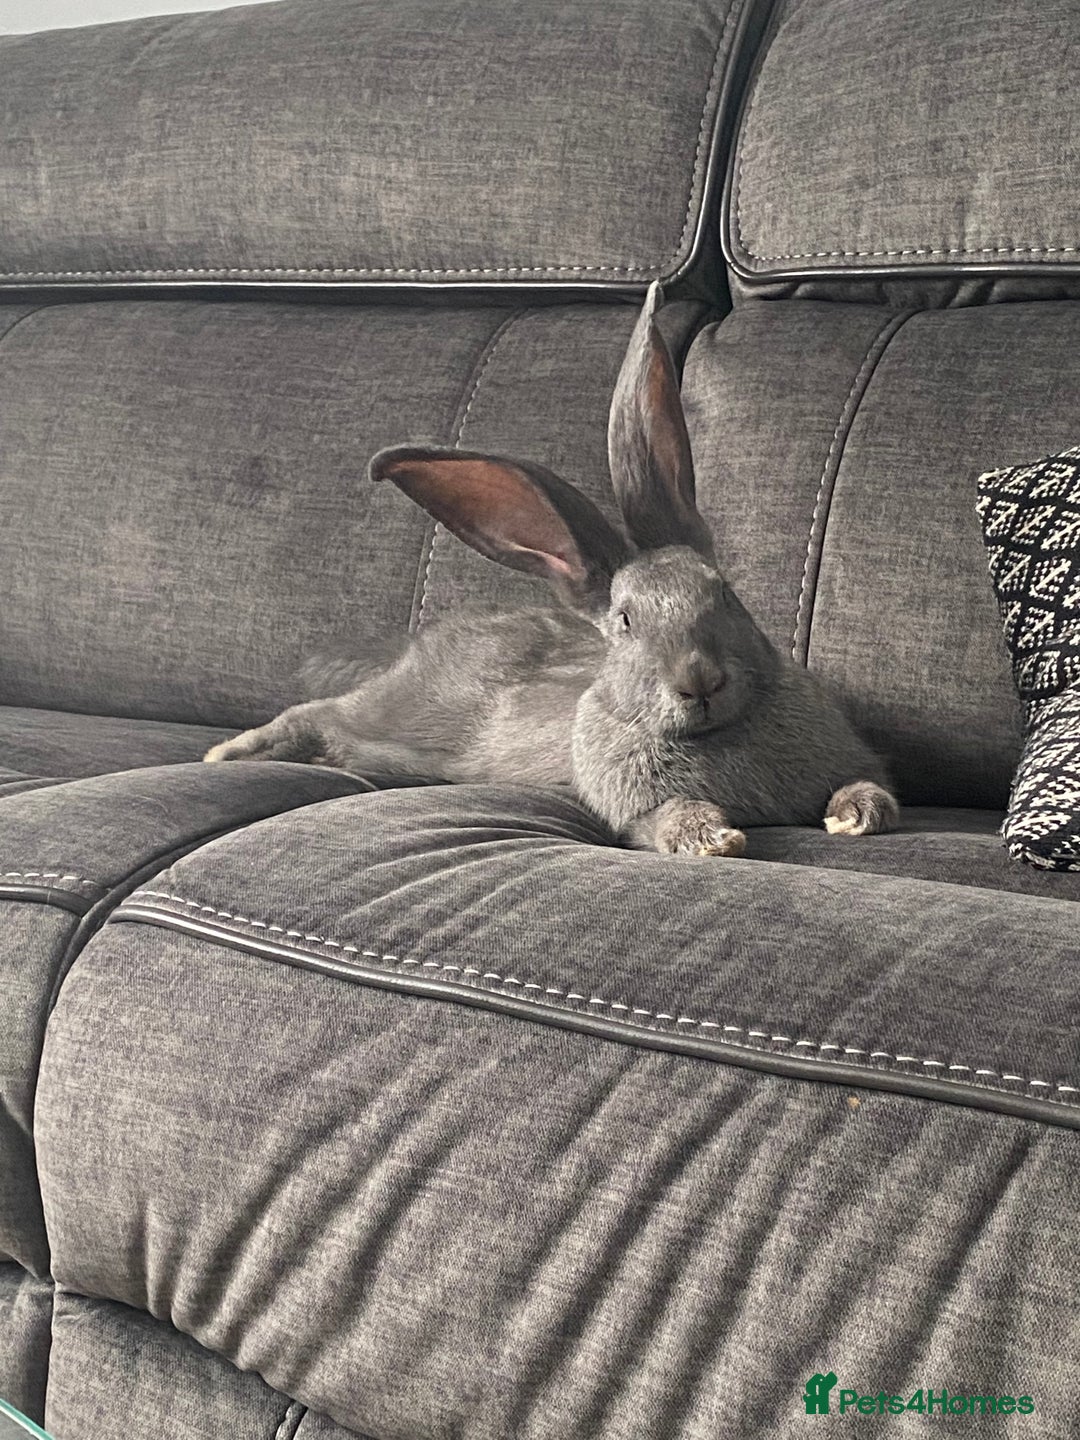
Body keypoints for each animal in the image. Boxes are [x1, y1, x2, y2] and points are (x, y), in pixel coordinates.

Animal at [205, 281, 898, 857]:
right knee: (315, 714)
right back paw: (224, 752)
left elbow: (864, 783)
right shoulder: (630, 806)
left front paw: (858, 815)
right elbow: (664, 816)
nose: (698, 679)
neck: (716, 732)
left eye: (723, 592)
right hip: (398, 718)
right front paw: (716, 838)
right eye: (625, 621)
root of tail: (416, 647)